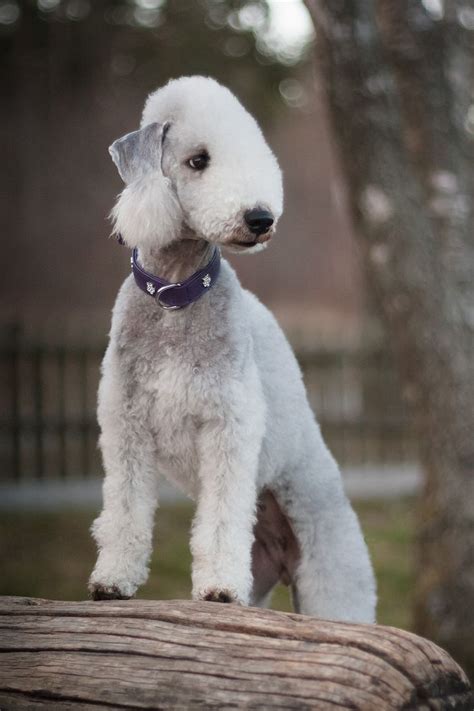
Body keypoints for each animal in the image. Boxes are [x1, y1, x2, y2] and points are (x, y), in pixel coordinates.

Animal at [89, 76, 376, 624]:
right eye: (198, 160)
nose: (260, 217)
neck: (177, 296)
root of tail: (283, 563)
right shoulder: (126, 423)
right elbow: (125, 507)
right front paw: (112, 581)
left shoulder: (228, 423)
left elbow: (222, 513)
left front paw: (219, 588)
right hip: (264, 575)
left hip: (330, 562)